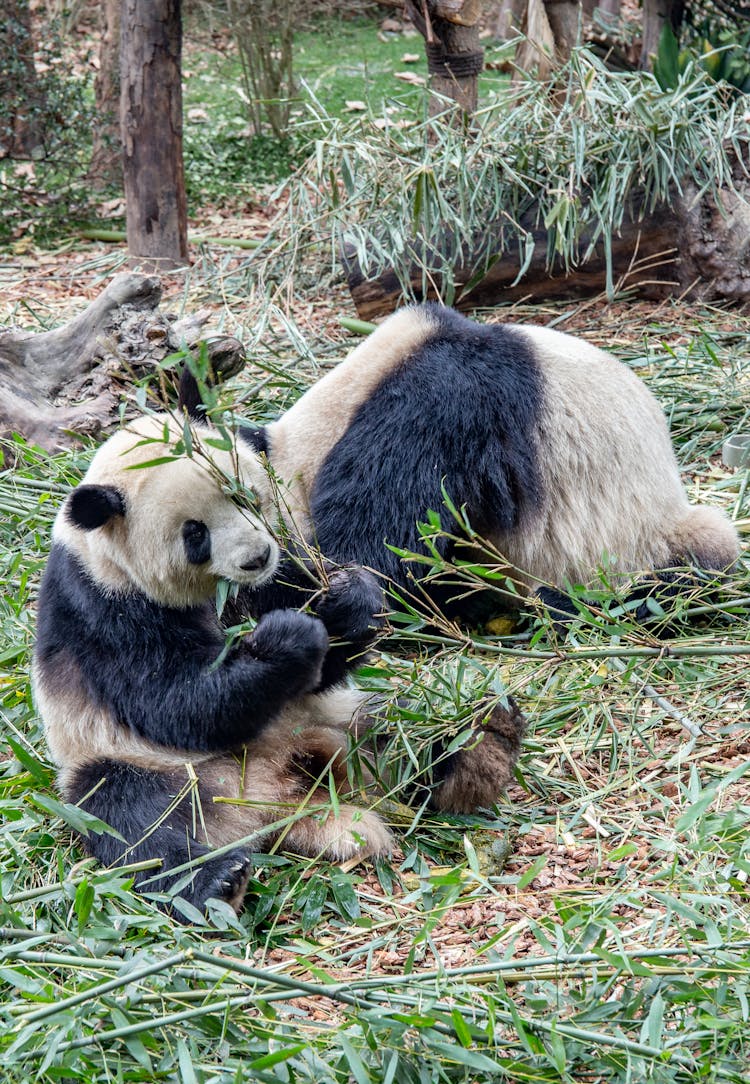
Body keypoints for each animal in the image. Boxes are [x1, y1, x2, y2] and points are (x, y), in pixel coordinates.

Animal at [35, 409, 524, 919]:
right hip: (135, 764)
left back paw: (482, 743)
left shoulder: (273, 576)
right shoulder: (103, 607)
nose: (256, 557)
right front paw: (289, 640)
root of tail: (274, 800)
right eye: (195, 533)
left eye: (242, 492)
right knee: (136, 820)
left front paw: (348, 601)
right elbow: (178, 702)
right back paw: (216, 880)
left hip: (344, 720)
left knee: (404, 733)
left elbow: (315, 640)